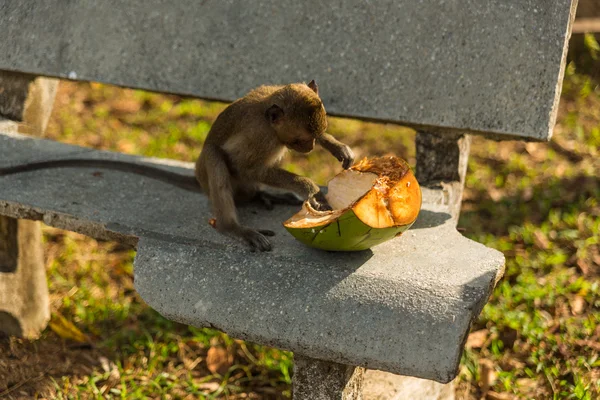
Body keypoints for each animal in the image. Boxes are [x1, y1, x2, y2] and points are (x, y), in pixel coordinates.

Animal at [0, 79, 354, 252]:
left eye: (313, 137)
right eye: (300, 141)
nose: (310, 147)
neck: (270, 118)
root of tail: (199, 181)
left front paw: (338, 148)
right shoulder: (260, 136)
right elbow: (246, 165)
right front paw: (308, 187)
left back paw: (261, 196)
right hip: (210, 176)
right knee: (217, 160)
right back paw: (233, 226)